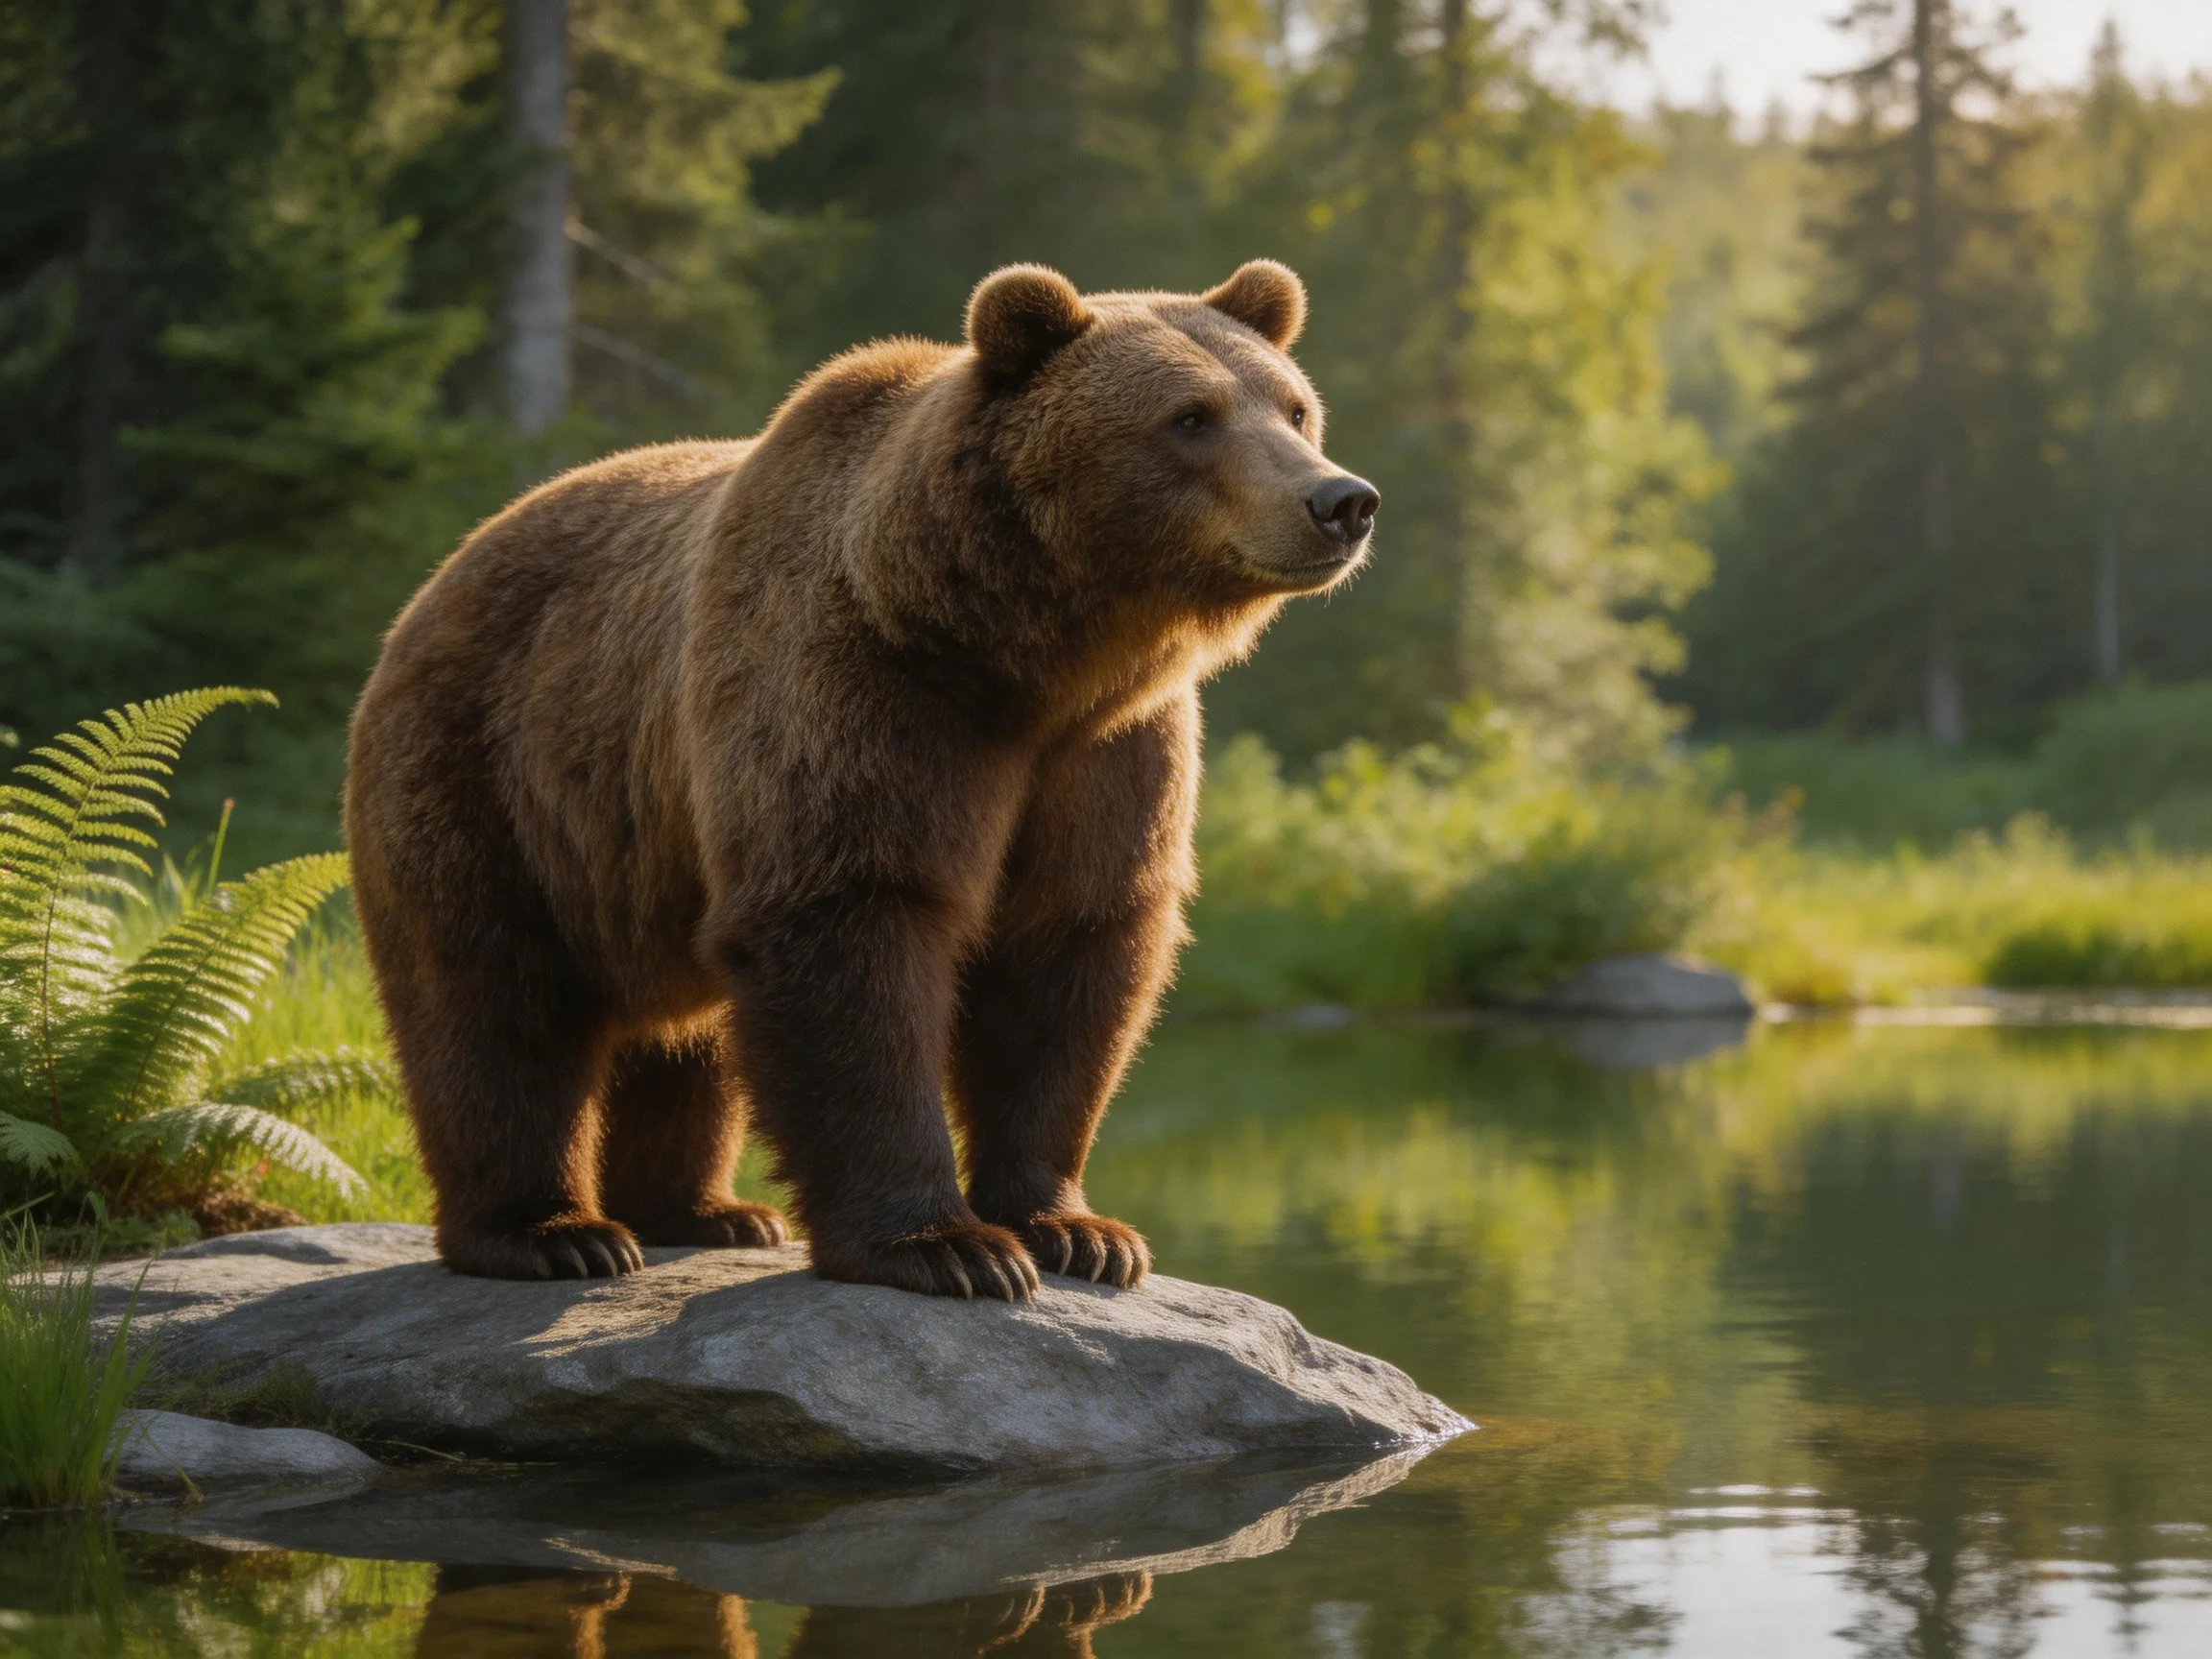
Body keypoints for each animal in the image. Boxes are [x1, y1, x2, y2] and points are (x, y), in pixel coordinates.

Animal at [344, 259, 1378, 1298]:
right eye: (1191, 416)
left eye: (1294, 408)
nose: (1342, 500)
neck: (1029, 655)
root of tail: (435, 581)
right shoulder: (865, 691)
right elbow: (854, 924)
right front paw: (946, 1246)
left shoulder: (1109, 753)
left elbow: (1069, 952)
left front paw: (1078, 1231)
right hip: (488, 773)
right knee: (490, 998)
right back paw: (552, 1232)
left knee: (684, 1038)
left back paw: (705, 1211)